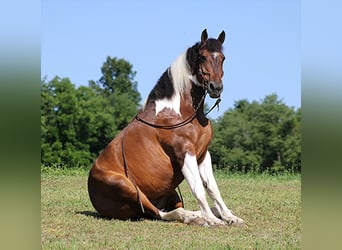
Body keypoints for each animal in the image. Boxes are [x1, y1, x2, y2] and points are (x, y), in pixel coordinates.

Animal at [87, 28, 244, 227]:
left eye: (223, 58)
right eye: (202, 57)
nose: (215, 87)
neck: (178, 112)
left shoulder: (202, 154)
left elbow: (213, 189)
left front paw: (229, 217)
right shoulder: (184, 152)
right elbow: (198, 188)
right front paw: (212, 220)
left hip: (169, 191)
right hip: (128, 187)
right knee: (159, 213)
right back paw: (195, 217)